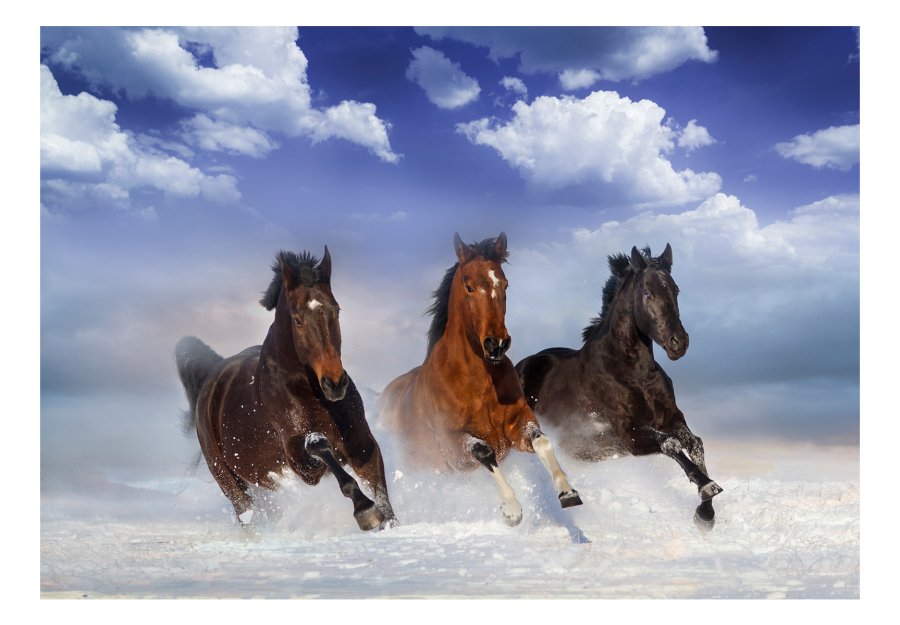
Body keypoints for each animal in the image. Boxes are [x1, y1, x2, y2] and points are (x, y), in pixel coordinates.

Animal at [175, 247, 396, 531]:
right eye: (297, 319)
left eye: (336, 310)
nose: (335, 383)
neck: (310, 392)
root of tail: (213, 377)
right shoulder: (300, 463)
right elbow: (320, 446)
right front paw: (365, 511)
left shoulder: (362, 443)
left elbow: (382, 494)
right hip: (229, 481)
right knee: (247, 514)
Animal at [379, 232, 582, 527]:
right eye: (469, 286)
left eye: (505, 283)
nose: (496, 344)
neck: (478, 382)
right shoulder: (453, 446)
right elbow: (485, 453)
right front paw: (512, 511)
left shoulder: (516, 423)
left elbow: (542, 441)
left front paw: (567, 492)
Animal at [515, 244, 723, 529]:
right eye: (647, 293)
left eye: (676, 290)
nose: (678, 342)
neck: (634, 373)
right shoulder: (629, 432)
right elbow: (670, 444)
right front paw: (706, 487)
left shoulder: (671, 417)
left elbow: (695, 444)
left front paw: (705, 513)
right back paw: (565, 497)